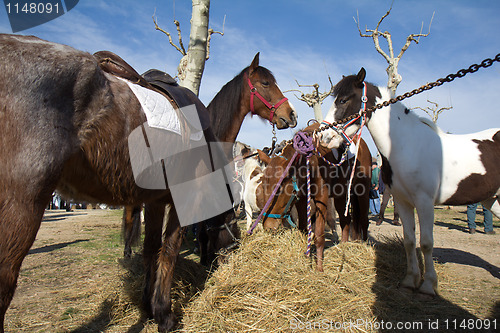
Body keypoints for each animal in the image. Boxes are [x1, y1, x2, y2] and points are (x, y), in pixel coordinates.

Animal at [258, 124, 372, 270]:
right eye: (263, 184)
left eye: (279, 188)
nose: (268, 226)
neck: (310, 162)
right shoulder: (300, 199)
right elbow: (303, 229)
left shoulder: (321, 198)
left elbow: (318, 236)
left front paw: (319, 268)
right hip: (341, 196)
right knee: (345, 220)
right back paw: (344, 246)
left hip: (362, 192)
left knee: (364, 220)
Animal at [320, 67, 500, 294]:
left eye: (343, 100)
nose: (324, 137)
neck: (407, 145)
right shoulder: (403, 201)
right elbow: (409, 240)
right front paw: (410, 280)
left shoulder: (424, 202)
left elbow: (426, 243)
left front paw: (428, 284)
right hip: (492, 199)